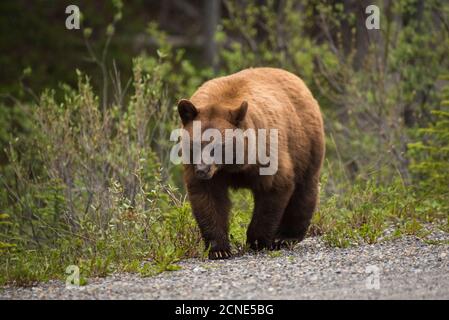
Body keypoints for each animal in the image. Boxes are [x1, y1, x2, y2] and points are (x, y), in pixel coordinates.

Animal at [177, 67, 324, 260]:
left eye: (217, 145)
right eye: (195, 144)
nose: (202, 170)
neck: (232, 166)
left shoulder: (266, 152)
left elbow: (274, 188)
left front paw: (257, 241)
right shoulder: (205, 172)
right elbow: (208, 199)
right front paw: (219, 249)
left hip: (305, 144)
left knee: (304, 189)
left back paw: (285, 237)